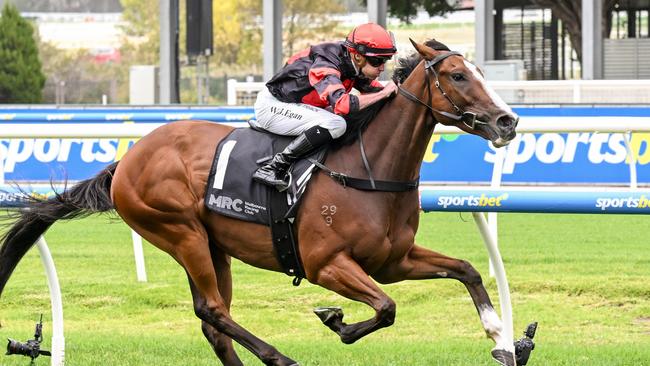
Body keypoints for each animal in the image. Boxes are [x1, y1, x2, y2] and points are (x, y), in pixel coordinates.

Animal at [0, 38, 516, 364]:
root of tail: (127, 160)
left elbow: (466, 270)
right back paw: (279, 357)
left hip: (212, 246)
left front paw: (499, 336)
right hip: (180, 232)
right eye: (457, 75)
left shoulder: (392, 260)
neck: (368, 171)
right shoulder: (326, 264)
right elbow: (386, 308)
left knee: (213, 321)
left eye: (480, 73)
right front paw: (335, 320)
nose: (507, 121)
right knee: (213, 311)